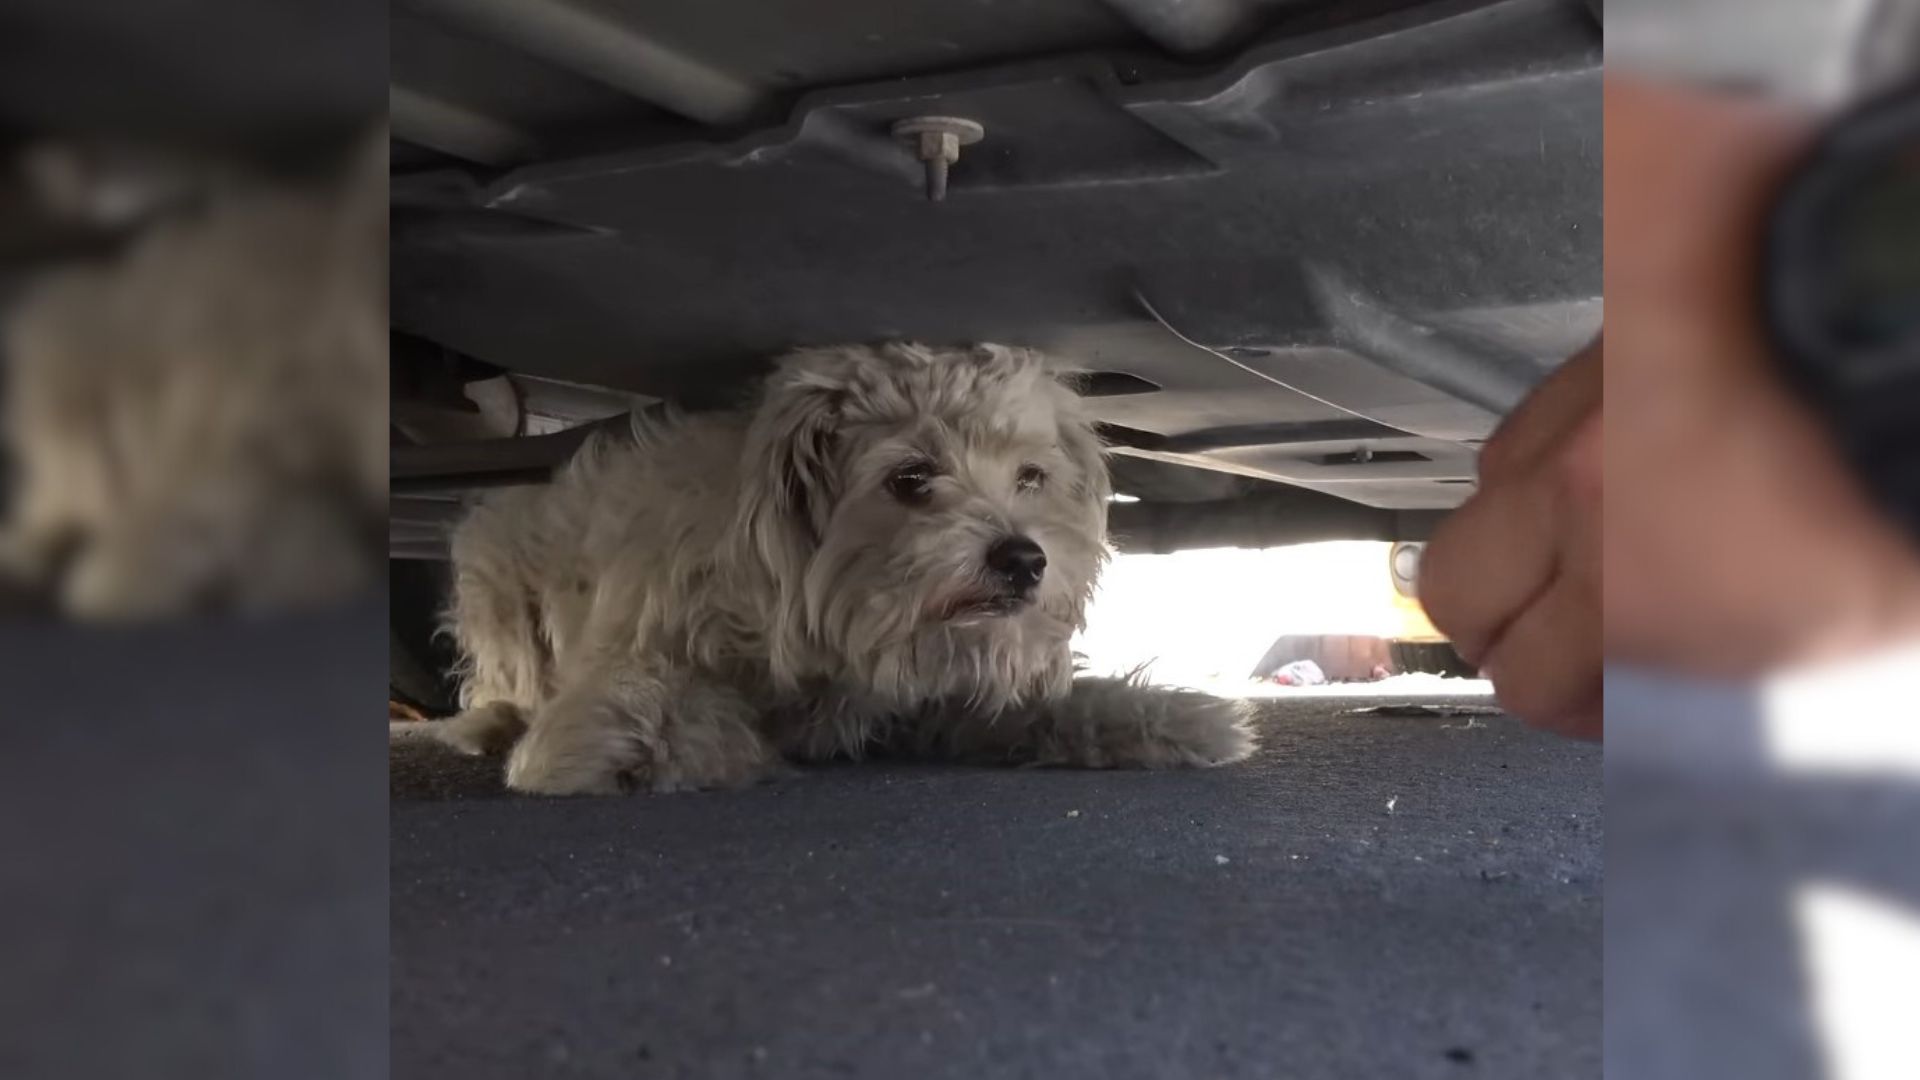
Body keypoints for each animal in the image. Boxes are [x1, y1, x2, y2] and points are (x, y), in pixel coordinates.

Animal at [445, 340, 1259, 795]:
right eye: (911, 478)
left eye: (1031, 477)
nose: (1026, 559)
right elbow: (666, 699)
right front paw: (636, 745)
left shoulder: (940, 692)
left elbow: (1050, 703)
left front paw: (1170, 718)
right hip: (493, 572)